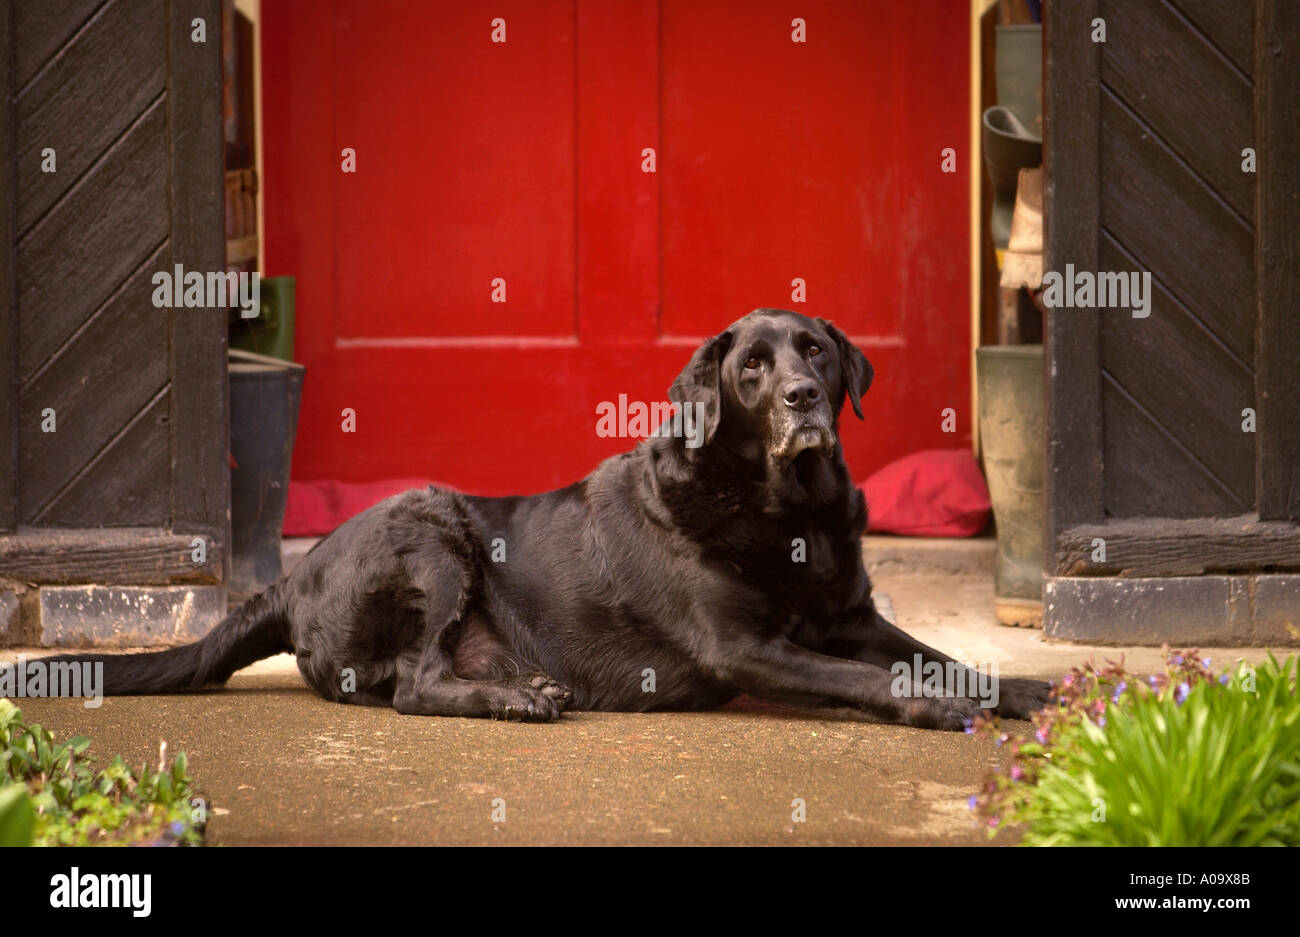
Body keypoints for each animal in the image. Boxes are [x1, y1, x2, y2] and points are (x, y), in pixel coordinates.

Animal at [45, 310, 1050, 727]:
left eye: (817, 352)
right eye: (753, 368)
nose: (804, 396)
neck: (781, 507)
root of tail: (290, 576)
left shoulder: (853, 617)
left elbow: (943, 655)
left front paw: (1024, 690)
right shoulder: (745, 646)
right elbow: (874, 678)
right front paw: (931, 707)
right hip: (433, 533)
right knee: (413, 687)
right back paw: (515, 697)